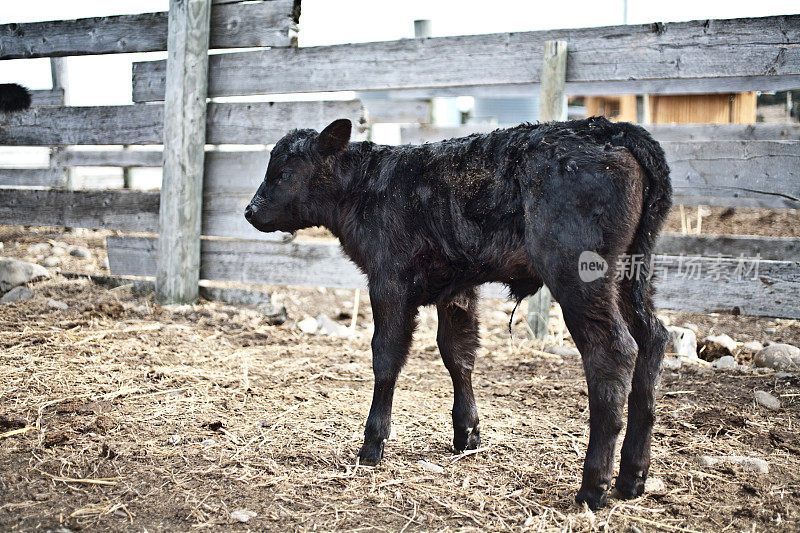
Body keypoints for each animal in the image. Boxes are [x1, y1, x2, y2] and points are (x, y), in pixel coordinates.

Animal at [247, 116, 672, 508]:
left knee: (613, 352)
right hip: (634, 276)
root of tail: (610, 129)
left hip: (581, 277)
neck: (366, 187)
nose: (250, 211)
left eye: (283, 173)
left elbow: (386, 358)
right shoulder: (458, 288)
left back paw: (593, 486)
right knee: (653, 339)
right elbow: (458, 353)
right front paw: (467, 434)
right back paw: (632, 478)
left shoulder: (388, 281)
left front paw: (372, 445)